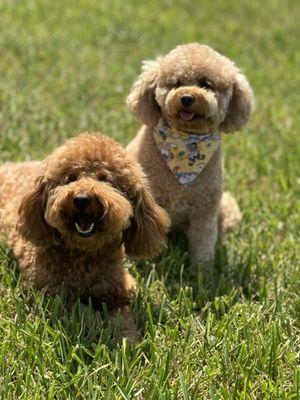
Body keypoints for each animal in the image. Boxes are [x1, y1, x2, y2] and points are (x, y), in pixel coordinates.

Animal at [0, 133, 169, 340]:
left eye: (105, 179)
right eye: (71, 178)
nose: (81, 199)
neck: (84, 253)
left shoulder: (118, 291)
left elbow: (124, 318)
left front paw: (128, 340)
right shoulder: (51, 295)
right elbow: (85, 314)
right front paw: (103, 331)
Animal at [126, 43, 253, 266]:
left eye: (206, 84)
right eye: (176, 83)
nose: (186, 98)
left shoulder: (205, 210)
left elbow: (203, 242)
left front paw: (203, 270)